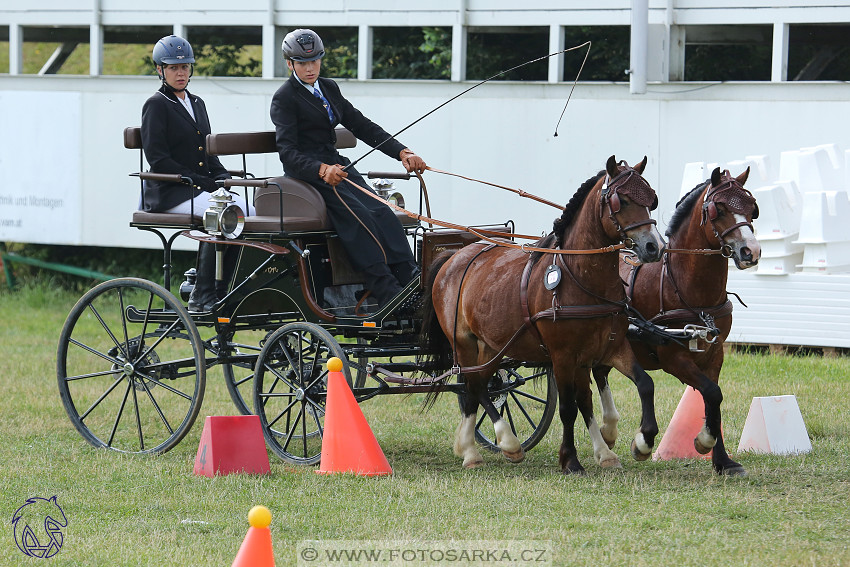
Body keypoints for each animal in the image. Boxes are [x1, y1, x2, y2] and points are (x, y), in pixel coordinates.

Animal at [420, 156, 664, 474]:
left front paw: (635, 444)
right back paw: (479, 449)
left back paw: (496, 445)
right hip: (463, 343)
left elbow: (639, 385)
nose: (653, 246)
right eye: (620, 200)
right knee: (472, 385)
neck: (581, 277)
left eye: (651, 200)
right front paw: (570, 459)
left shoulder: (608, 347)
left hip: (493, 346)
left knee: (482, 385)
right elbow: (569, 407)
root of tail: (453, 256)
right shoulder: (562, 355)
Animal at [588, 166, 760, 478]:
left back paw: (608, 431)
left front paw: (722, 460)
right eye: (719, 209)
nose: (750, 251)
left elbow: (714, 400)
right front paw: (701, 441)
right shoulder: (673, 357)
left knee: (601, 373)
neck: (683, 285)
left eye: (751, 208)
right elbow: (711, 393)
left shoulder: (715, 354)